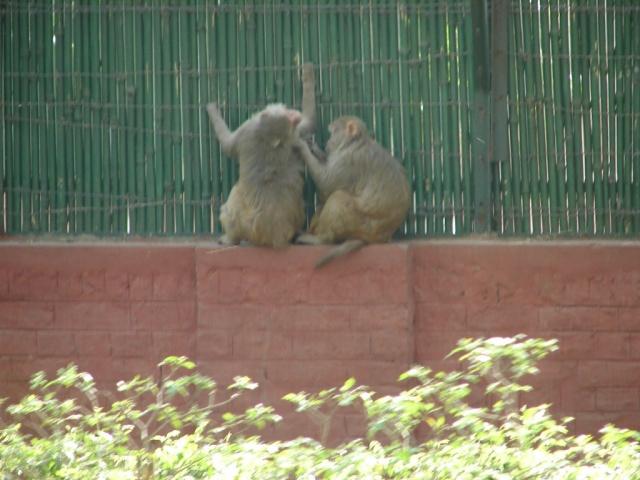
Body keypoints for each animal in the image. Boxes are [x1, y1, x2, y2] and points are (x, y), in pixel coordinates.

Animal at [206, 63, 316, 248]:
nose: (296, 115)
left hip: (248, 225)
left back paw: (230, 238)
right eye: (290, 118)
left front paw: (213, 112)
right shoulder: (291, 136)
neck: (265, 137)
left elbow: (228, 146)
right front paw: (308, 77)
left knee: (232, 203)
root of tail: (277, 234)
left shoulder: (247, 130)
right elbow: (307, 125)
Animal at [295, 116, 411, 267]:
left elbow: (327, 185)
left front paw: (302, 147)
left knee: (338, 198)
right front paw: (314, 149)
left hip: (360, 224)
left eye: (333, 132)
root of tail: (379, 238)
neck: (354, 144)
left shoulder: (349, 160)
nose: (328, 141)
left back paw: (321, 239)